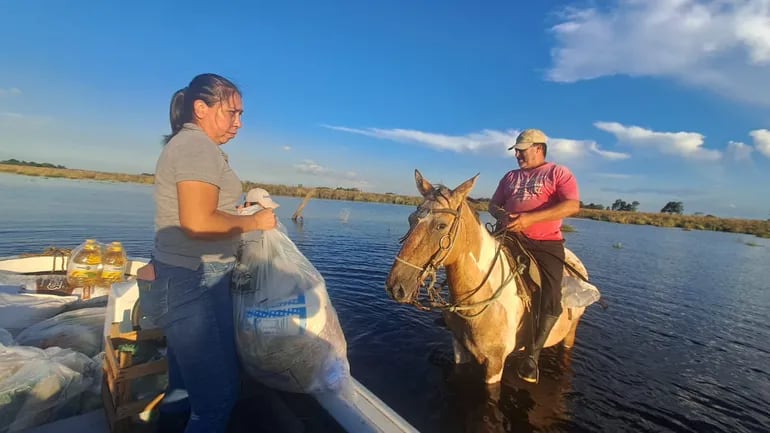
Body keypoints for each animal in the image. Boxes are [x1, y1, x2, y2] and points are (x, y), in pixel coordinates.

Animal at [384, 169, 588, 384]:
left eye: (441, 225)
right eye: (410, 219)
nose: (395, 286)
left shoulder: (495, 364)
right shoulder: (459, 348)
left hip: (569, 333)